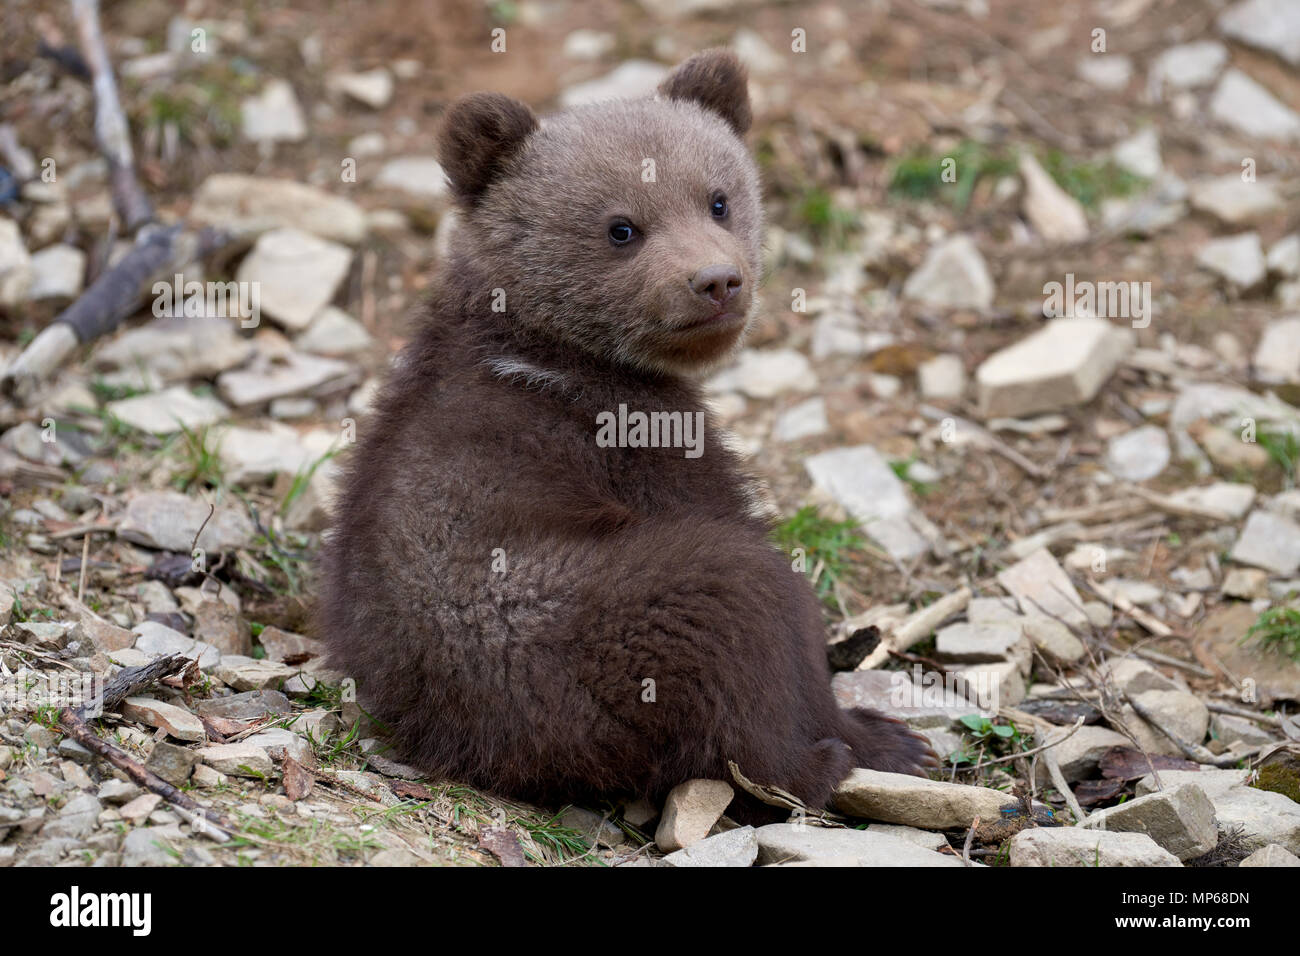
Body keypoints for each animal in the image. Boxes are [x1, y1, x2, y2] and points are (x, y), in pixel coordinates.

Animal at [318, 49, 938, 822]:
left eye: (718, 199)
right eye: (622, 227)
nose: (717, 281)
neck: (556, 346)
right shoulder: (634, 444)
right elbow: (758, 555)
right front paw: (881, 728)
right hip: (589, 626)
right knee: (743, 614)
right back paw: (840, 753)